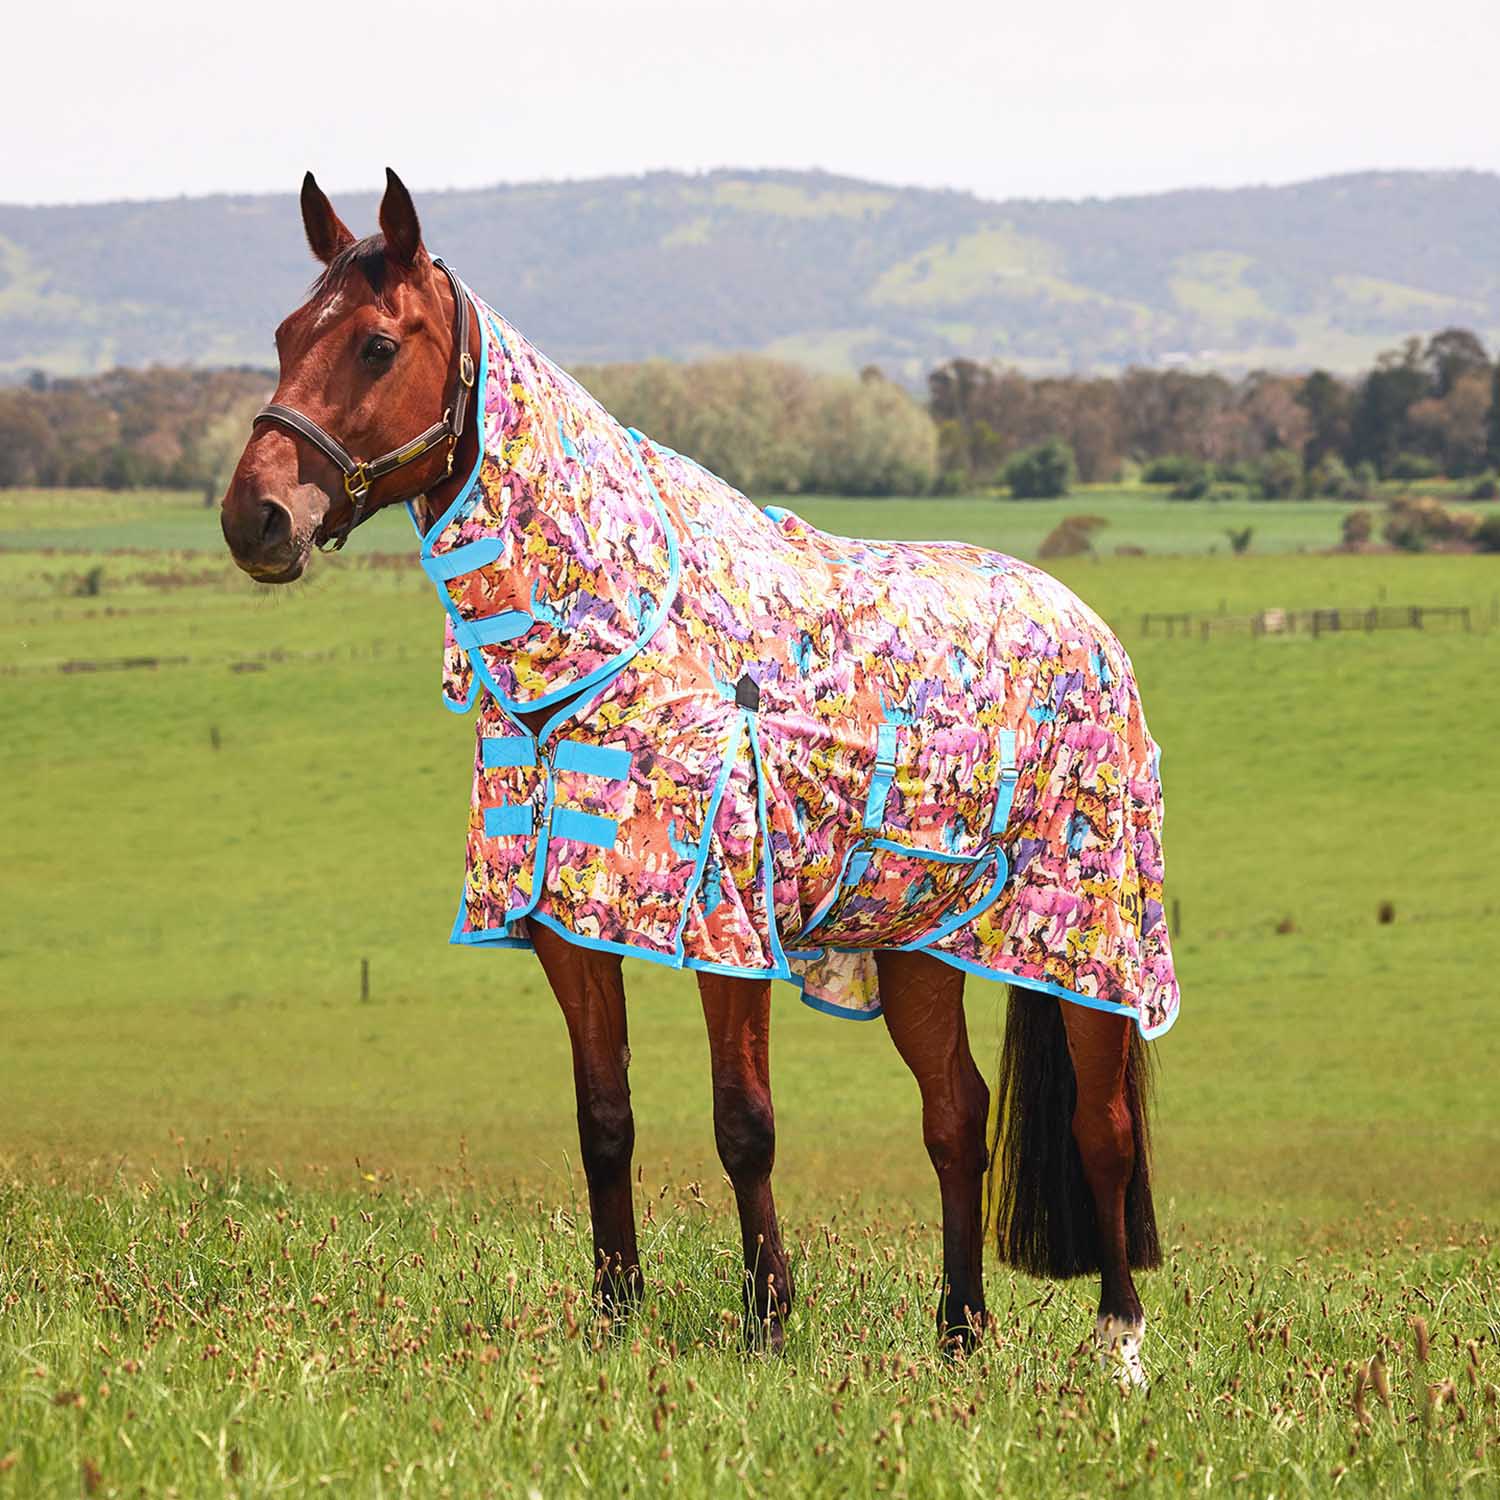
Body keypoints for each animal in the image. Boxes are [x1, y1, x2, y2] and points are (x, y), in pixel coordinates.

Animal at [220, 170, 1176, 1385]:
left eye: (379, 345)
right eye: (287, 334)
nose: (255, 518)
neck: (618, 638)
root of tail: (1090, 628)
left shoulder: (727, 927)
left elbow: (743, 1123)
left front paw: (769, 1320)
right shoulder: (572, 927)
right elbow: (605, 1118)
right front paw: (614, 1314)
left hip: (1091, 945)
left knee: (1104, 1131)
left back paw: (1120, 1348)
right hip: (918, 942)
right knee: (958, 1117)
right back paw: (959, 1332)